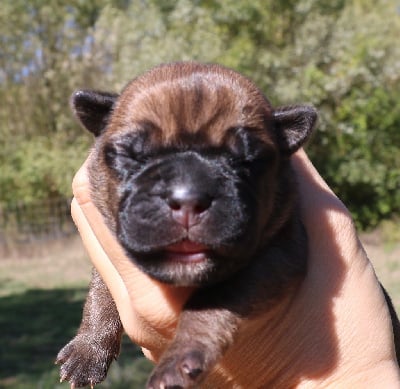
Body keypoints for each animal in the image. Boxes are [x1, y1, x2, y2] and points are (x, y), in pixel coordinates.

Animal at [55, 62, 396, 386]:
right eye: (132, 155)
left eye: (246, 161)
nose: (188, 198)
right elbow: (100, 290)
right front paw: (89, 348)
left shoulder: (278, 254)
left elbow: (213, 301)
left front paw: (180, 357)